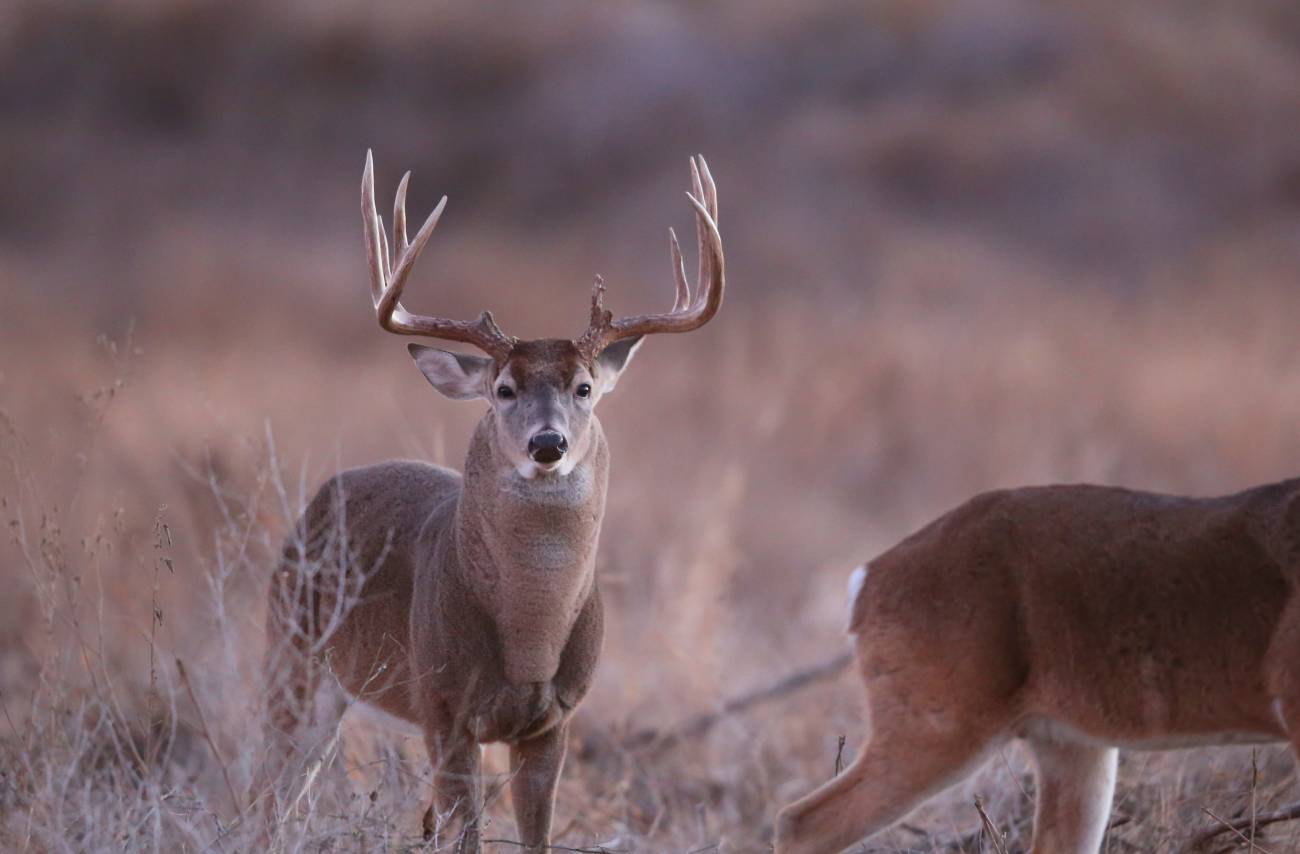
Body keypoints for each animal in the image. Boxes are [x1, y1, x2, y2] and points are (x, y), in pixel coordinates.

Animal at [260, 152, 723, 851]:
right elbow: (467, 836)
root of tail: (315, 506)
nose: (548, 443)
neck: (530, 635)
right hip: (292, 656)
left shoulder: (555, 720)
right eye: (504, 389)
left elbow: (537, 837)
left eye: (585, 387)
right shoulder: (445, 709)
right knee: (268, 793)